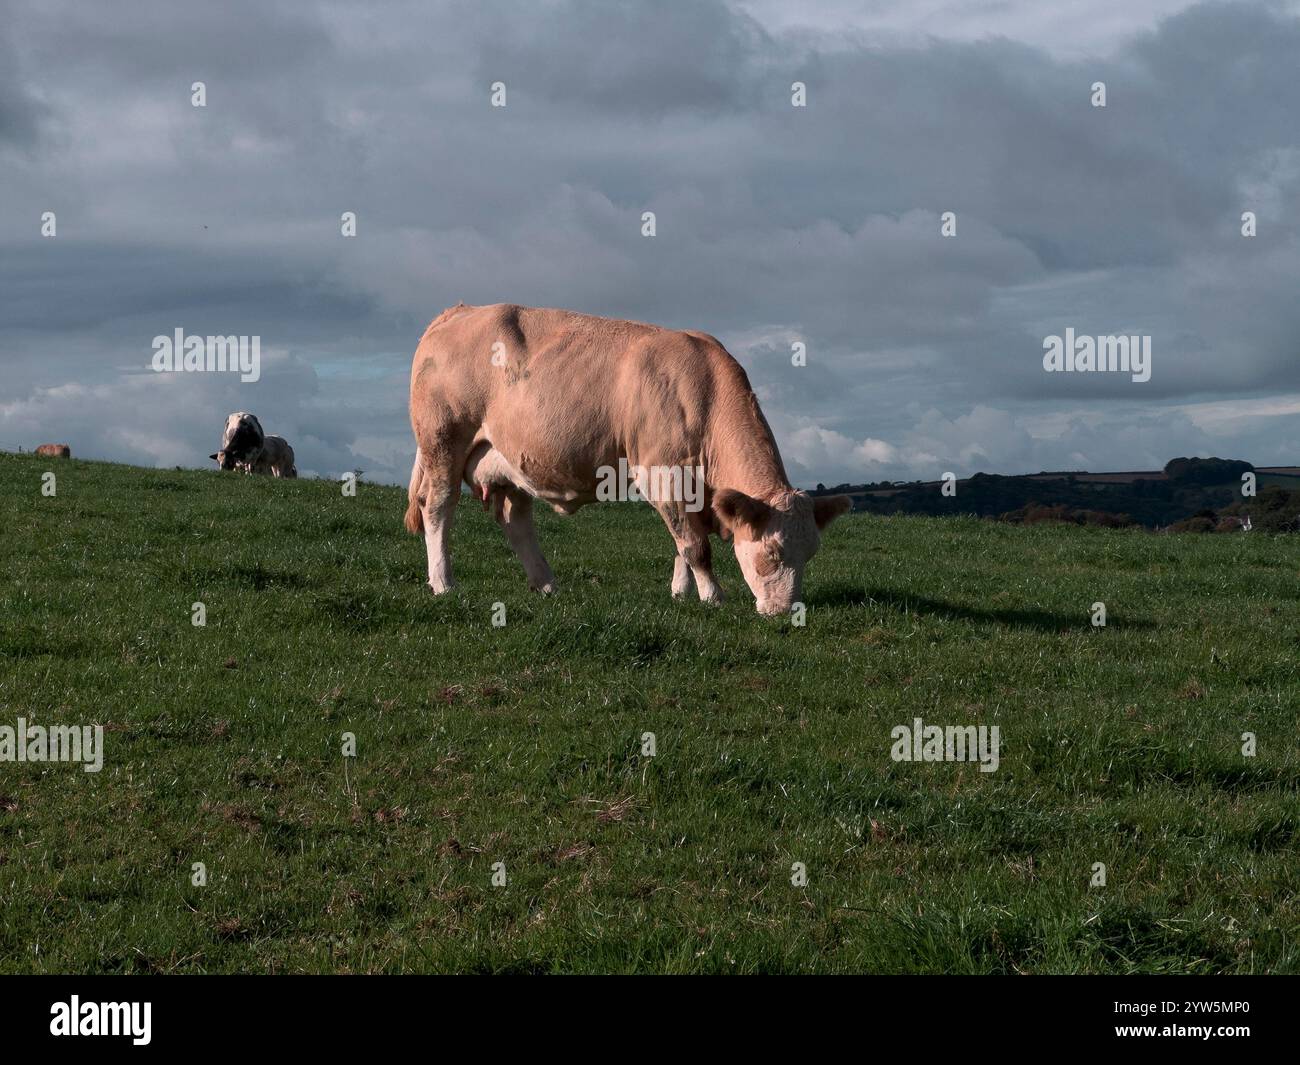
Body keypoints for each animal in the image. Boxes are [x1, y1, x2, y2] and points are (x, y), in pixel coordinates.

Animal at [406, 303, 852, 616]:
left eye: (811, 552)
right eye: (772, 552)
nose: (786, 611)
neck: (705, 394)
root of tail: (459, 311)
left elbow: (683, 541)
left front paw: (680, 593)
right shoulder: (662, 473)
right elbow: (696, 546)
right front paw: (712, 596)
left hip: (510, 459)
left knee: (516, 521)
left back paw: (546, 584)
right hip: (443, 441)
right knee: (438, 507)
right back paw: (444, 583)